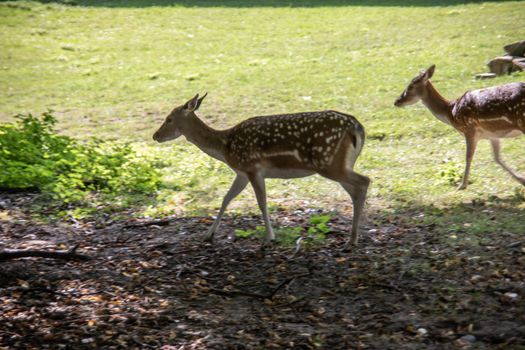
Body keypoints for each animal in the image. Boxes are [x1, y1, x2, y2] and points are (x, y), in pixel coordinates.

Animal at [151, 93, 368, 246]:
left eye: (169, 119)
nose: (155, 135)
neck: (225, 147)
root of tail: (357, 126)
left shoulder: (253, 167)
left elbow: (262, 202)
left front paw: (269, 237)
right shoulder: (241, 173)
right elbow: (226, 199)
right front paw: (208, 234)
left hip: (329, 162)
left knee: (365, 181)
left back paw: (353, 238)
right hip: (339, 164)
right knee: (356, 191)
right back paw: (355, 236)